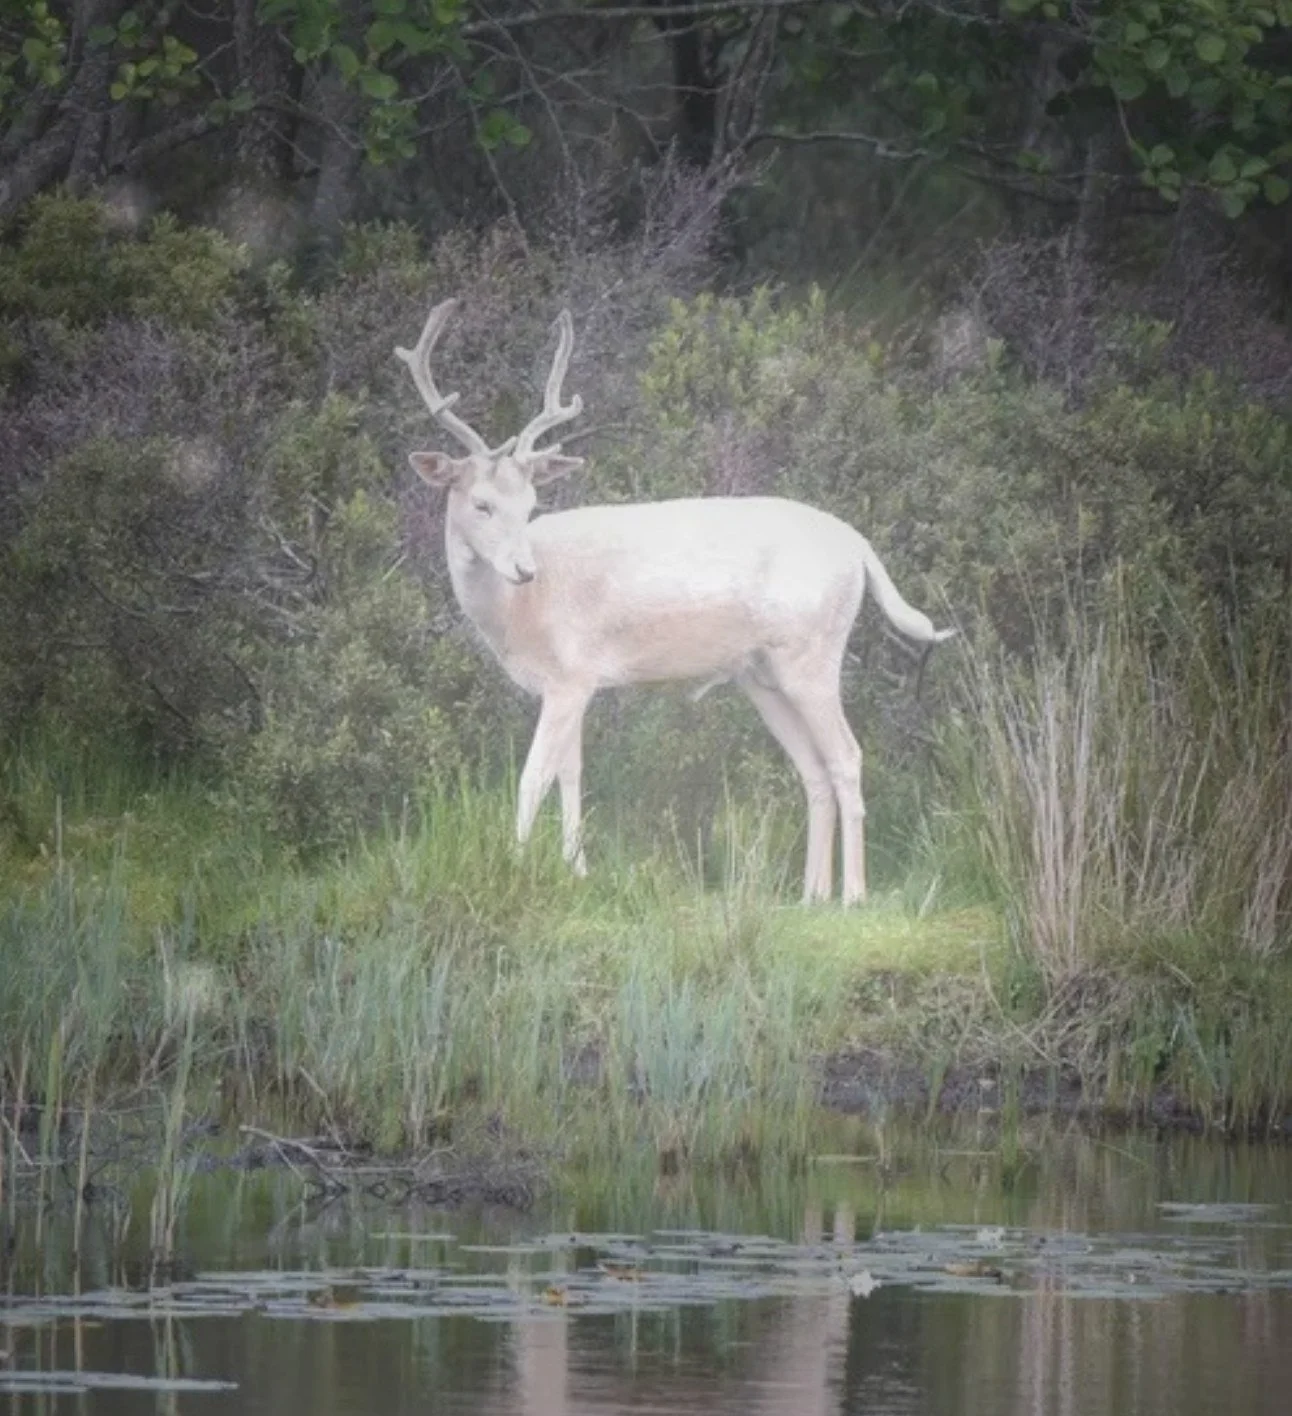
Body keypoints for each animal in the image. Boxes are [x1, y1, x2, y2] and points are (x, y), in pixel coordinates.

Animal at [396, 299, 955, 905]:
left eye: (530, 502)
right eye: (481, 504)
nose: (524, 569)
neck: (519, 619)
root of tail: (860, 547)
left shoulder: (572, 675)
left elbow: (534, 776)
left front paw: (516, 868)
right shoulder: (571, 684)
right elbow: (571, 774)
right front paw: (575, 869)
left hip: (813, 653)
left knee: (848, 757)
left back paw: (852, 896)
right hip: (764, 676)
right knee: (813, 768)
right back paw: (811, 896)